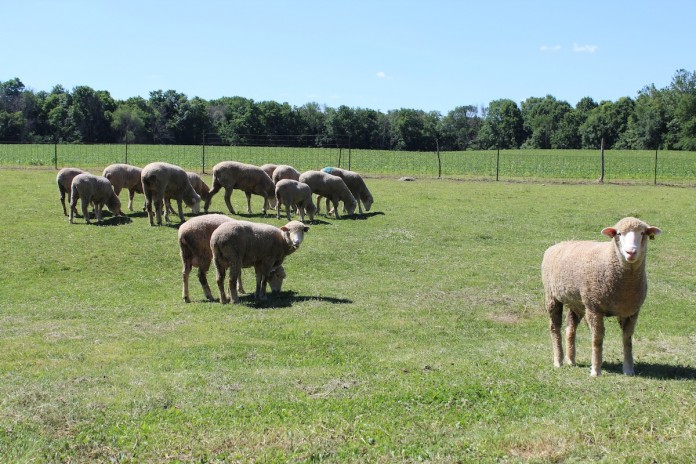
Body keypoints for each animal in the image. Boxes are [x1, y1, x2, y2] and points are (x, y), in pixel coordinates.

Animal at [541, 217, 662, 377]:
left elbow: (627, 339)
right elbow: (597, 339)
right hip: (552, 297)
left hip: (577, 303)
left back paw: (571, 360)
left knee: (570, 329)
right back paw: (558, 361)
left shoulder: (631, 311)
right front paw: (595, 370)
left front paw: (628, 369)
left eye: (642, 233)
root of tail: (559, 244)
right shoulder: (594, 308)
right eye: (619, 233)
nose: (631, 252)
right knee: (554, 328)